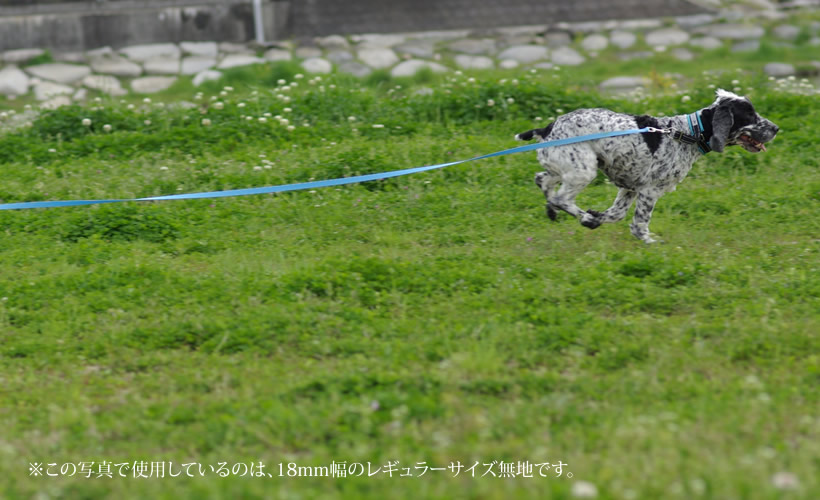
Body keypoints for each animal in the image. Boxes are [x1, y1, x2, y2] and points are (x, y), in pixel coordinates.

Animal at [516, 90, 780, 246]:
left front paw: (598, 215)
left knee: (542, 181)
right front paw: (648, 240)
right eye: (750, 115)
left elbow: (617, 213)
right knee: (561, 197)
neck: (687, 133)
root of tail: (548, 128)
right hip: (583, 170)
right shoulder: (649, 190)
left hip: (563, 167)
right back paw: (584, 218)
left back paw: (556, 212)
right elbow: (640, 221)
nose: (776, 128)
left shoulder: (630, 187)